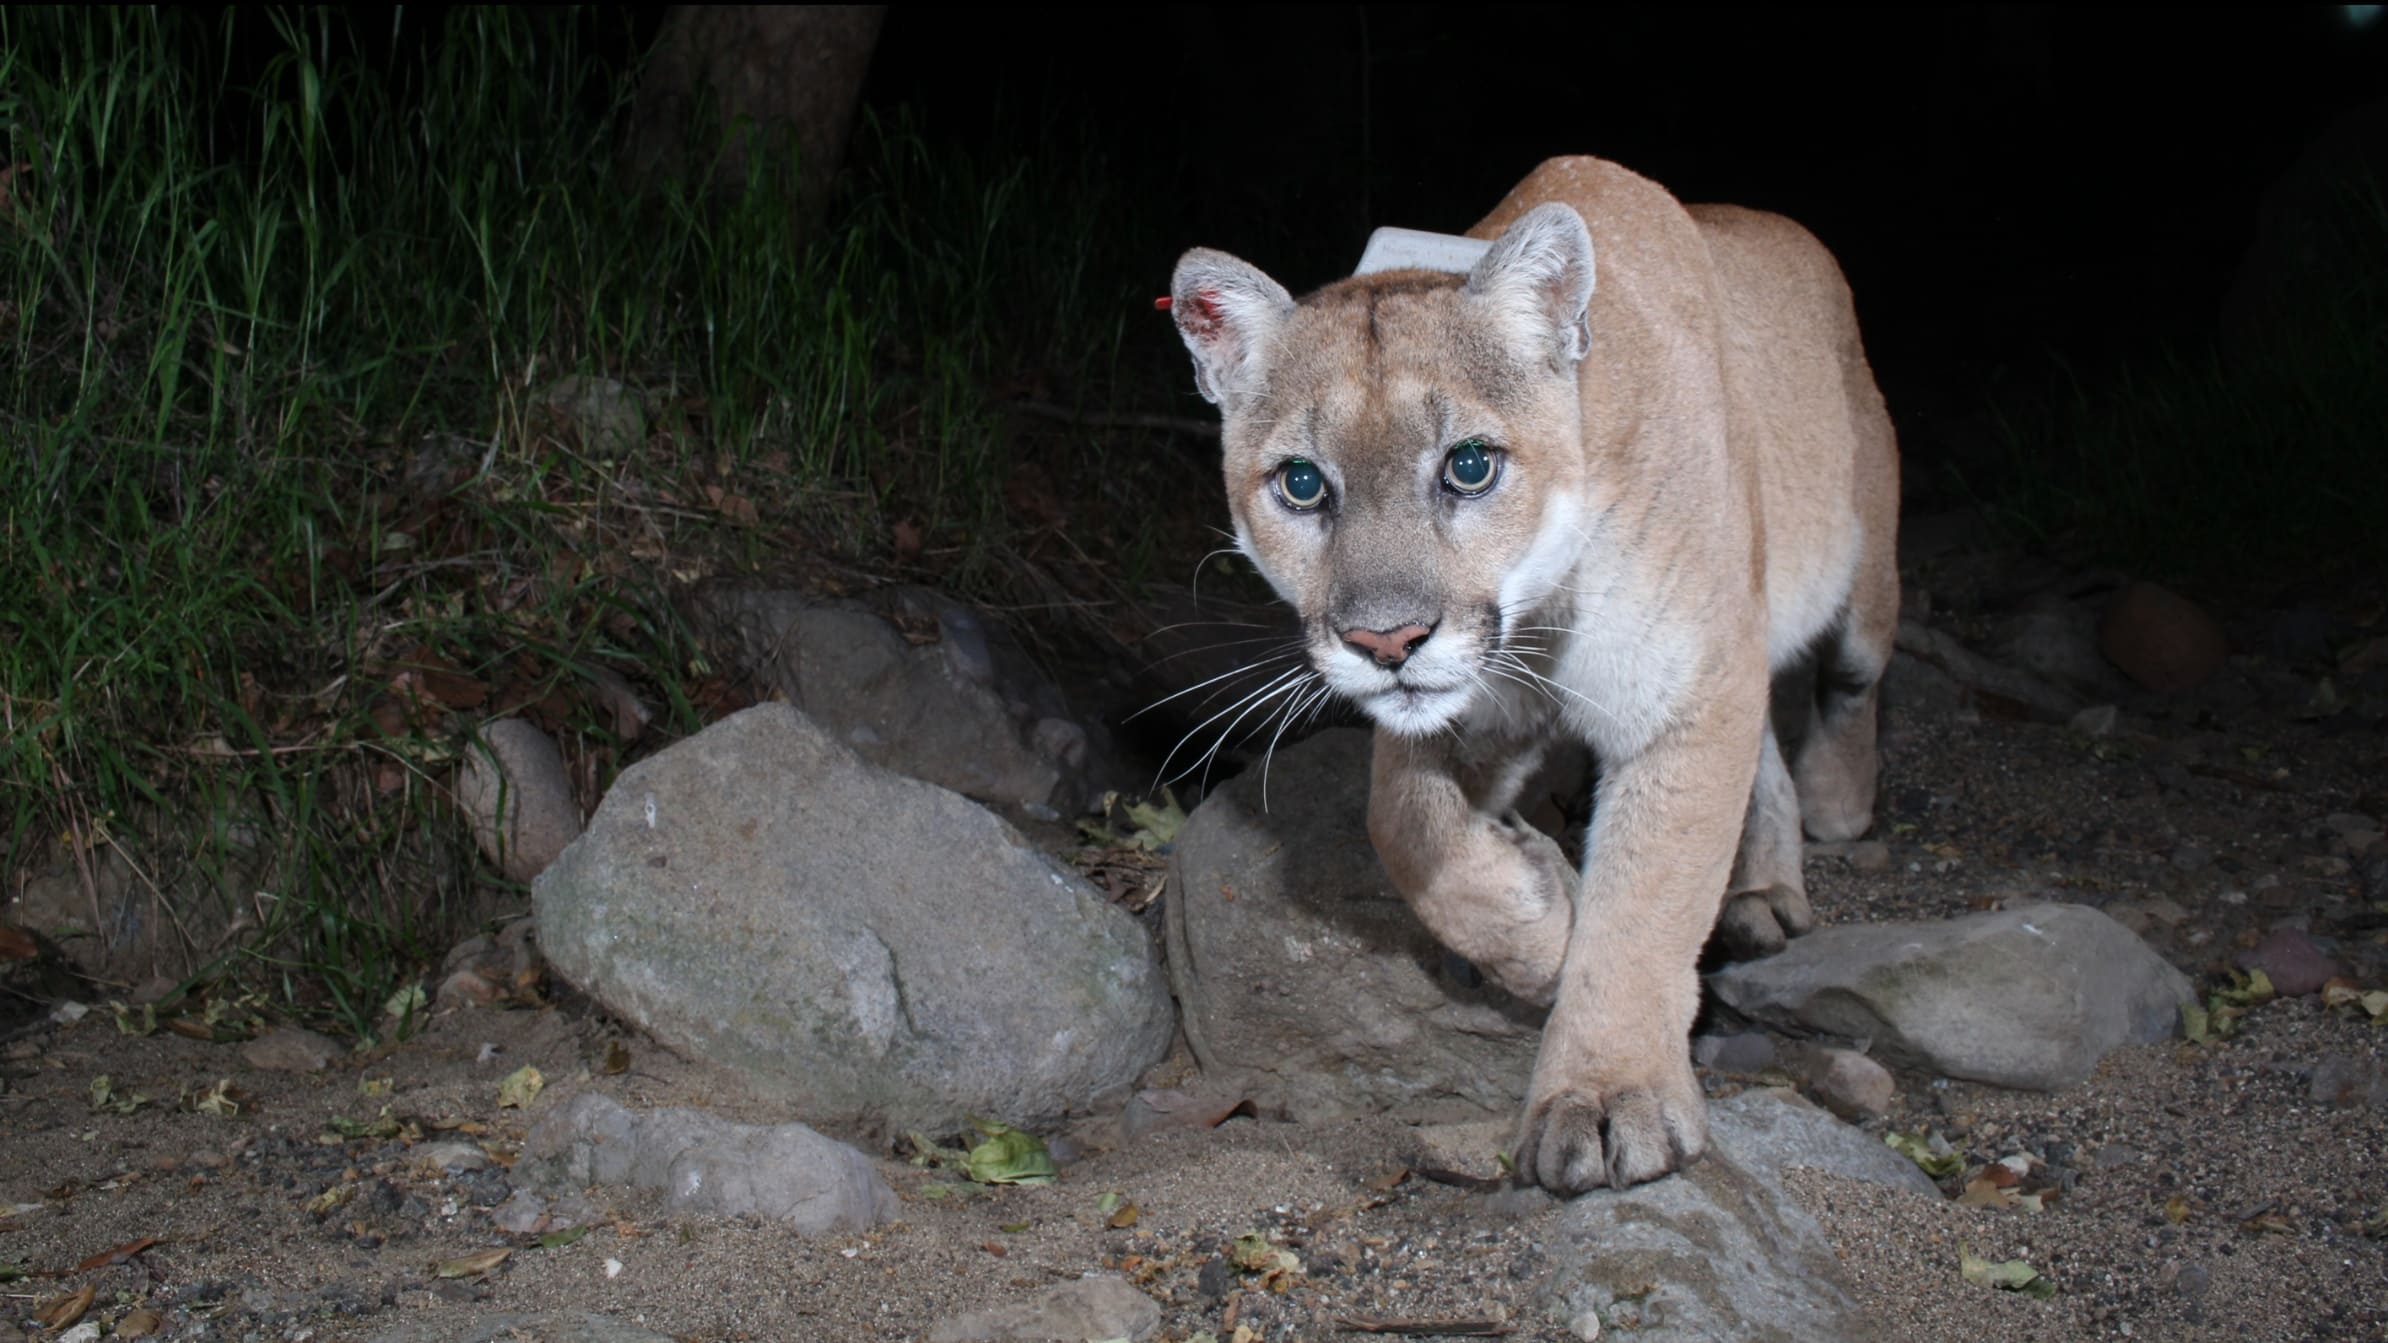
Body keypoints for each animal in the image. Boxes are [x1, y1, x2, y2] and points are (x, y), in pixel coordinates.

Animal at [1165, 156, 1891, 1190]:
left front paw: (1605, 1091)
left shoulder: (1687, 694)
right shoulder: (1479, 707)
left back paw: (1834, 804)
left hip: (1860, 568)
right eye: (1301, 483)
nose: (1387, 641)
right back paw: (1759, 891)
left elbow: (1647, 902)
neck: (1541, 614)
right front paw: (1543, 925)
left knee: (1850, 681)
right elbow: (1404, 825)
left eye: (1470, 465)